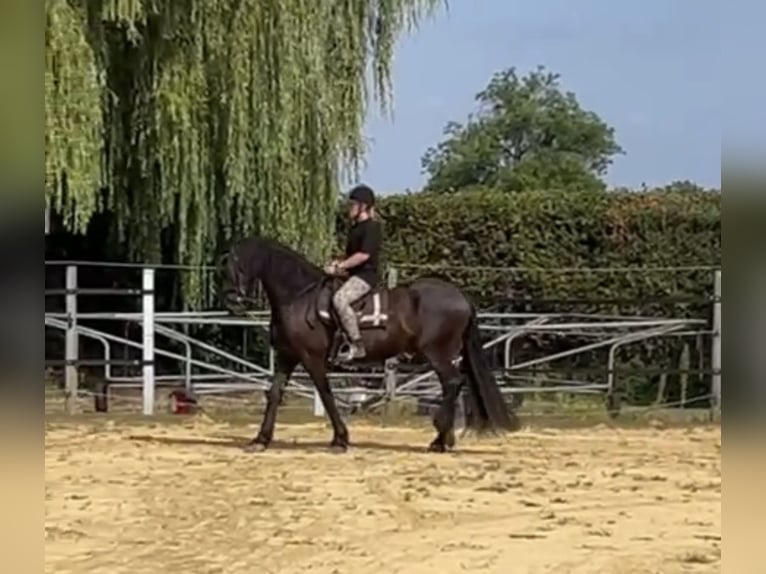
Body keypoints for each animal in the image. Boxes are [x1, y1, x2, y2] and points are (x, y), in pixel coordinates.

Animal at [217, 236, 519, 453]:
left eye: (238, 263)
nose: (231, 298)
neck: (297, 297)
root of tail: (461, 297)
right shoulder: (287, 356)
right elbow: (275, 394)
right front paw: (260, 439)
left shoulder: (311, 358)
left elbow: (326, 394)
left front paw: (340, 440)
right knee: (454, 385)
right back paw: (444, 439)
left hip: (438, 353)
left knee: (453, 383)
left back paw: (439, 438)